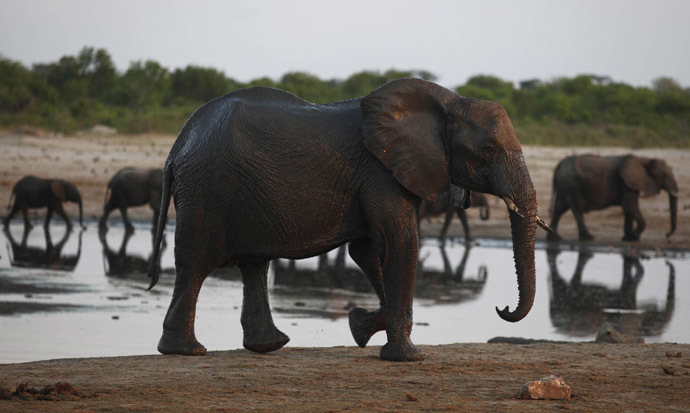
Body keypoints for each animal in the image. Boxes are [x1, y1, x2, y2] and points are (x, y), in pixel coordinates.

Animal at [146, 77, 548, 360]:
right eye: (487, 150)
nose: (502, 307)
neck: (448, 102)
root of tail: (176, 147)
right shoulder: (380, 170)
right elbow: (399, 242)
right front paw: (407, 358)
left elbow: (368, 251)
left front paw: (359, 326)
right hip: (208, 189)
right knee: (197, 262)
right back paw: (186, 351)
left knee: (253, 265)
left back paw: (269, 345)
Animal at [548, 154, 676, 241]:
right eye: (662, 174)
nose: (667, 234)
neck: (643, 159)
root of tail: (560, 164)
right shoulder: (626, 183)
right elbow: (630, 207)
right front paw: (634, 236)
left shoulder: (628, 184)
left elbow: (628, 209)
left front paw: (629, 238)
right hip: (572, 186)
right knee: (577, 208)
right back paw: (588, 238)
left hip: (565, 187)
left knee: (559, 209)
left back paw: (555, 237)